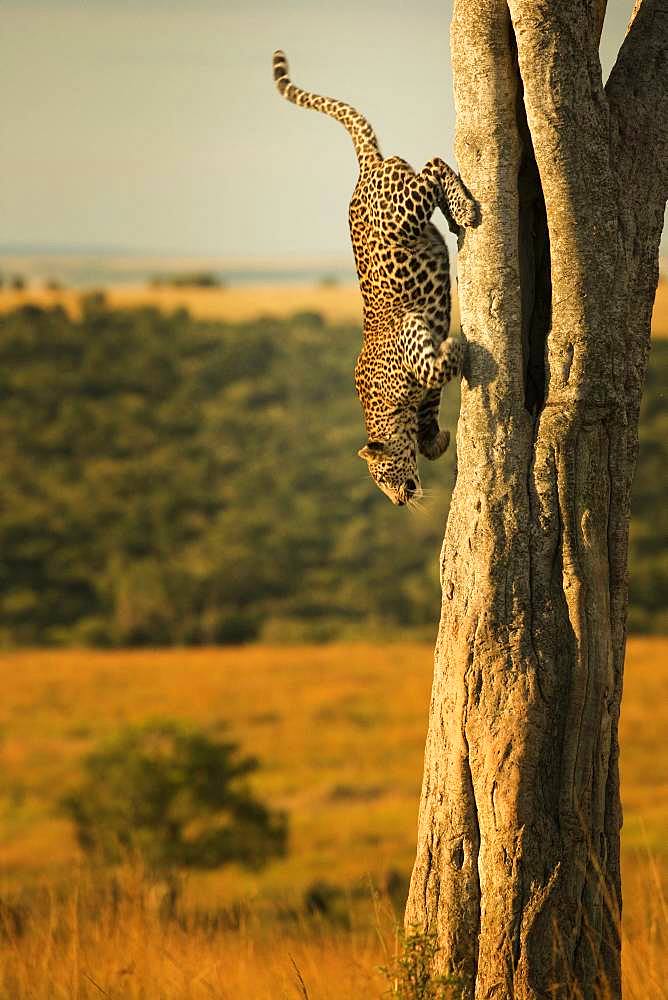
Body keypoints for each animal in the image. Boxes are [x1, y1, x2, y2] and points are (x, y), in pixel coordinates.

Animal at [272, 49, 474, 508]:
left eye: (382, 476)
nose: (397, 501)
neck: (386, 411)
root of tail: (365, 170)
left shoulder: (413, 338)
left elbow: (437, 368)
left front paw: (455, 345)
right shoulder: (423, 393)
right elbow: (431, 402)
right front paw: (437, 441)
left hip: (403, 212)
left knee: (435, 164)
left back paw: (465, 208)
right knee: (431, 169)